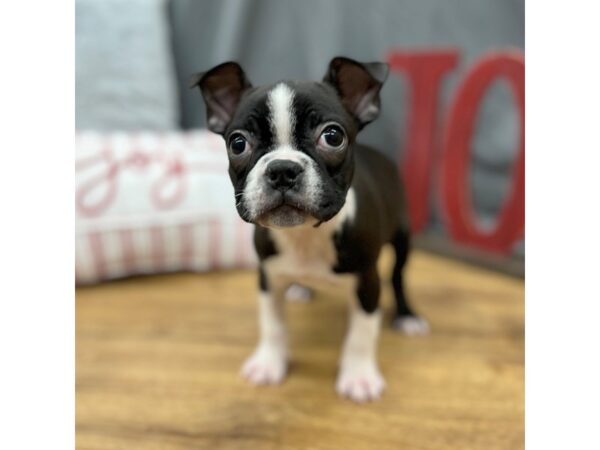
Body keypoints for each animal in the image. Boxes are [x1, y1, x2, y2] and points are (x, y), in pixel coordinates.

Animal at [190, 57, 428, 404]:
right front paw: (268, 363)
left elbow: (362, 333)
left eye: (333, 137)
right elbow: (272, 324)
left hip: (402, 237)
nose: (282, 169)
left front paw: (359, 377)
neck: (305, 235)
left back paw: (407, 316)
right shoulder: (268, 276)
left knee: (398, 275)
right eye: (238, 143)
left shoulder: (367, 281)